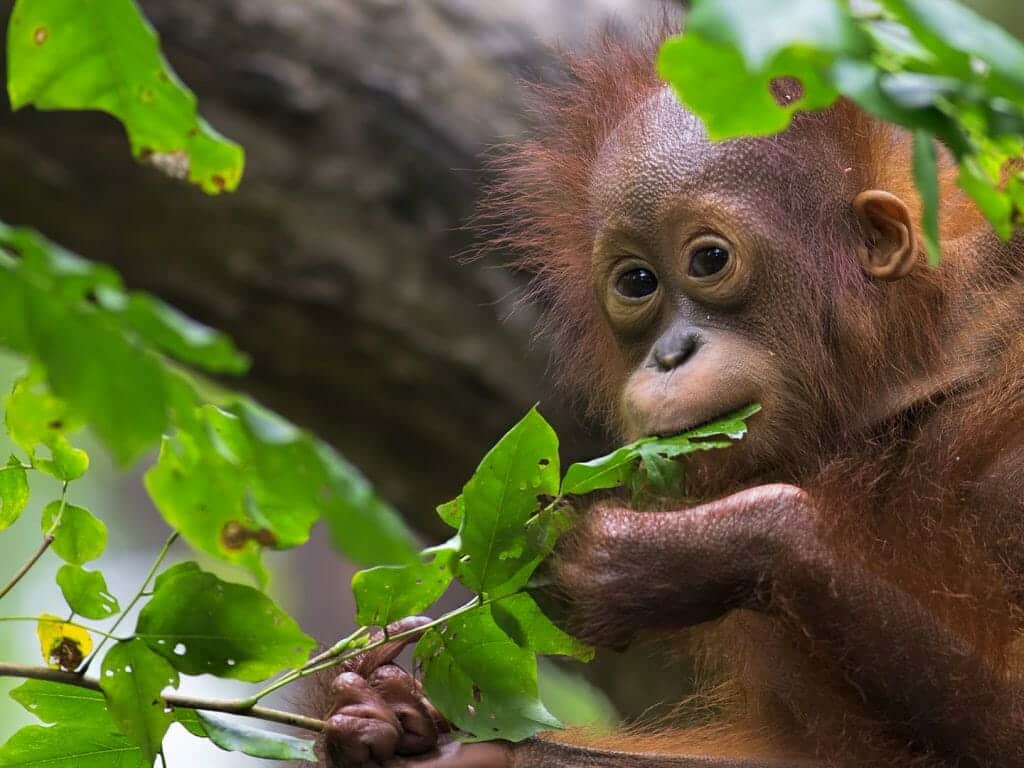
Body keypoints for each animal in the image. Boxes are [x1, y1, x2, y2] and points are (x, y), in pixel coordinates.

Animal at [315, 26, 1024, 768]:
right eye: (637, 282)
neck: (904, 373)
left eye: (709, 260)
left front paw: (664, 555)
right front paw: (401, 725)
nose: (670, 354)